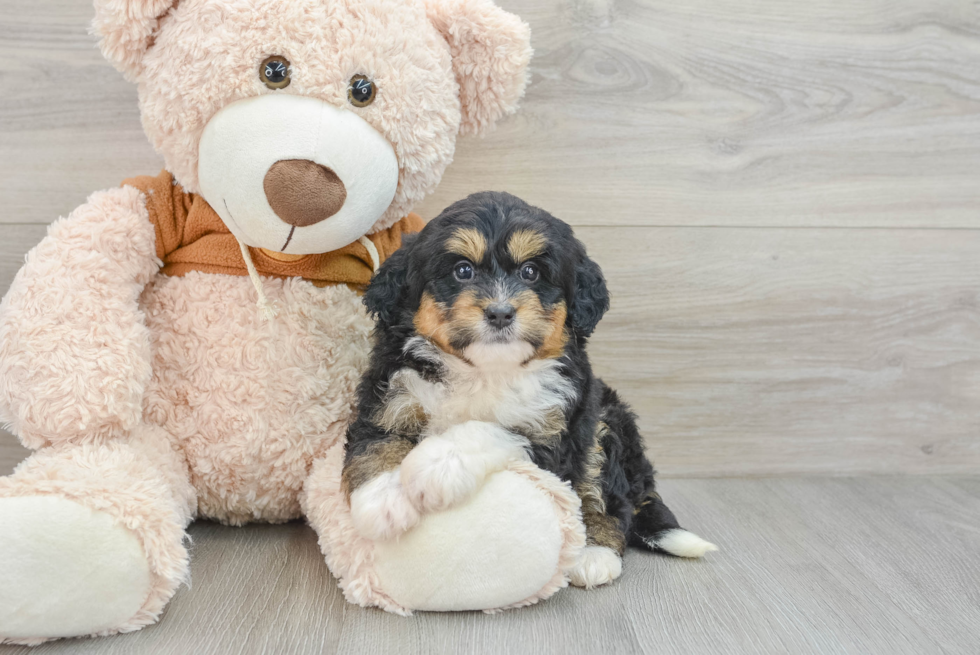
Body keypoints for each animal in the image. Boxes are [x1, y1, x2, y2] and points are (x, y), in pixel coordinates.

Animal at [340, 191, 716, 588]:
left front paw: (435, 467)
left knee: (609, 498)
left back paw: (595, 552)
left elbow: (488, 429)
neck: (485, 369)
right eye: (463, 271)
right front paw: (382, 501)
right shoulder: (389, 397)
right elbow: (378, 445)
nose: (501, 312)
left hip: (605, 424)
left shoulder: (553, 430)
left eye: (531, 272)